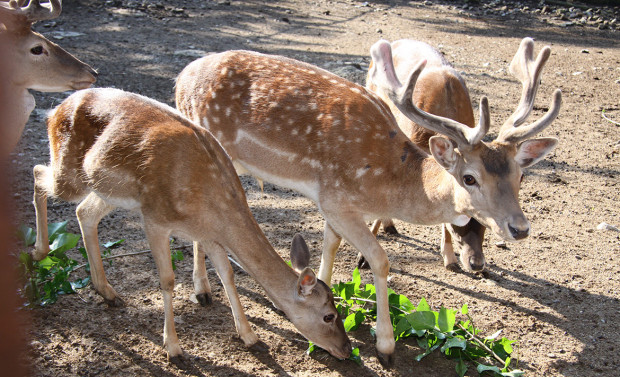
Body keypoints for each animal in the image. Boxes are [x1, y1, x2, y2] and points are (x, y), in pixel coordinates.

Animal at [31, 87, 352, 364]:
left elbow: (227, 275)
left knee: (84, 212)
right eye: (328, 315)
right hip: (70, 173)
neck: (208, 207)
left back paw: (107, 292)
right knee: (37, 174)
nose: (347, 349)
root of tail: (55, 109)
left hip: (107, 190)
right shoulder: (155, 218)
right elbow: (168, 280)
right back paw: (38, 252)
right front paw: (174, 349)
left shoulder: (208, 233)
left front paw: (251, 338)